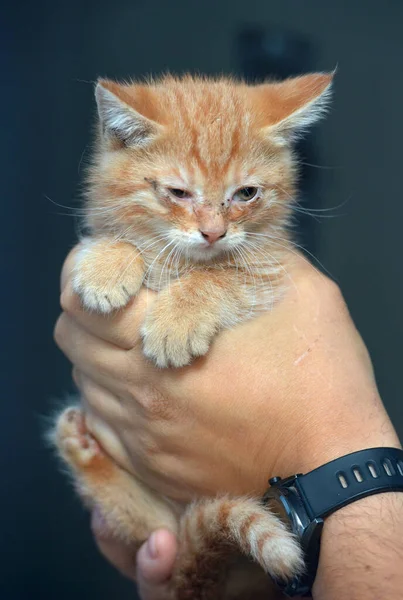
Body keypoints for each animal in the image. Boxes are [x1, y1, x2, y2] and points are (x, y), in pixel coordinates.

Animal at [52, 72, 332, 596]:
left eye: (246, 194)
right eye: (179, 193)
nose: (214, 233)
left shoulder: (268, 273)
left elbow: (222, 278)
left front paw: (177, 319)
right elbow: (116, 236)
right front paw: (108, 263)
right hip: (156, 521)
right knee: (145, 521)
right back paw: (81, 447)